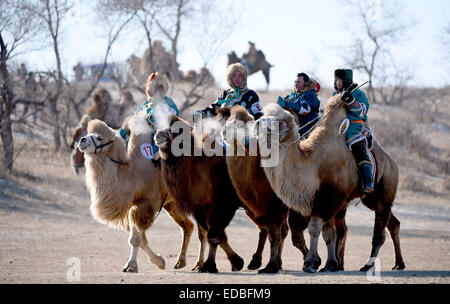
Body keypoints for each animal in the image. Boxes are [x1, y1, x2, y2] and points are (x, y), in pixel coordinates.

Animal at [77, 115, 206, 272]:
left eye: (99, 137)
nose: (82, 140)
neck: (130, 172)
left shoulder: (146, 203)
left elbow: (135, 239)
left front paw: (131, 266)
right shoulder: (133, 207)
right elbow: (141, 239)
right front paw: (160, 261)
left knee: (203, 230)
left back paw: (199, 264)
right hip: (172, 204)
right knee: (188, 226)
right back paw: (180, 262)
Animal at [221, 106, 310, 274]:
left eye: (243, 124)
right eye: (229, 120)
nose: (223, 130)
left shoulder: (279, 205)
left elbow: (277, 233)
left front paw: (271, 265)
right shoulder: (259, 206)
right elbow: (273, 231)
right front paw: (272, 264)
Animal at [255, 98, 406, 274]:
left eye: (279, 121)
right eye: (265, 115)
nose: (257, 122)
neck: (313, 165)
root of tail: (392, 163)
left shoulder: (329, 200)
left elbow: (316, 229)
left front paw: (312, 263)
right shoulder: (323, 201)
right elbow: (327, 233)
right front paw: (328, 264)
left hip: (383, 194)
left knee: (379, 234)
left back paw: (368, 265)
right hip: (370, 200)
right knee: (392, 224)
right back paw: (398, 263)